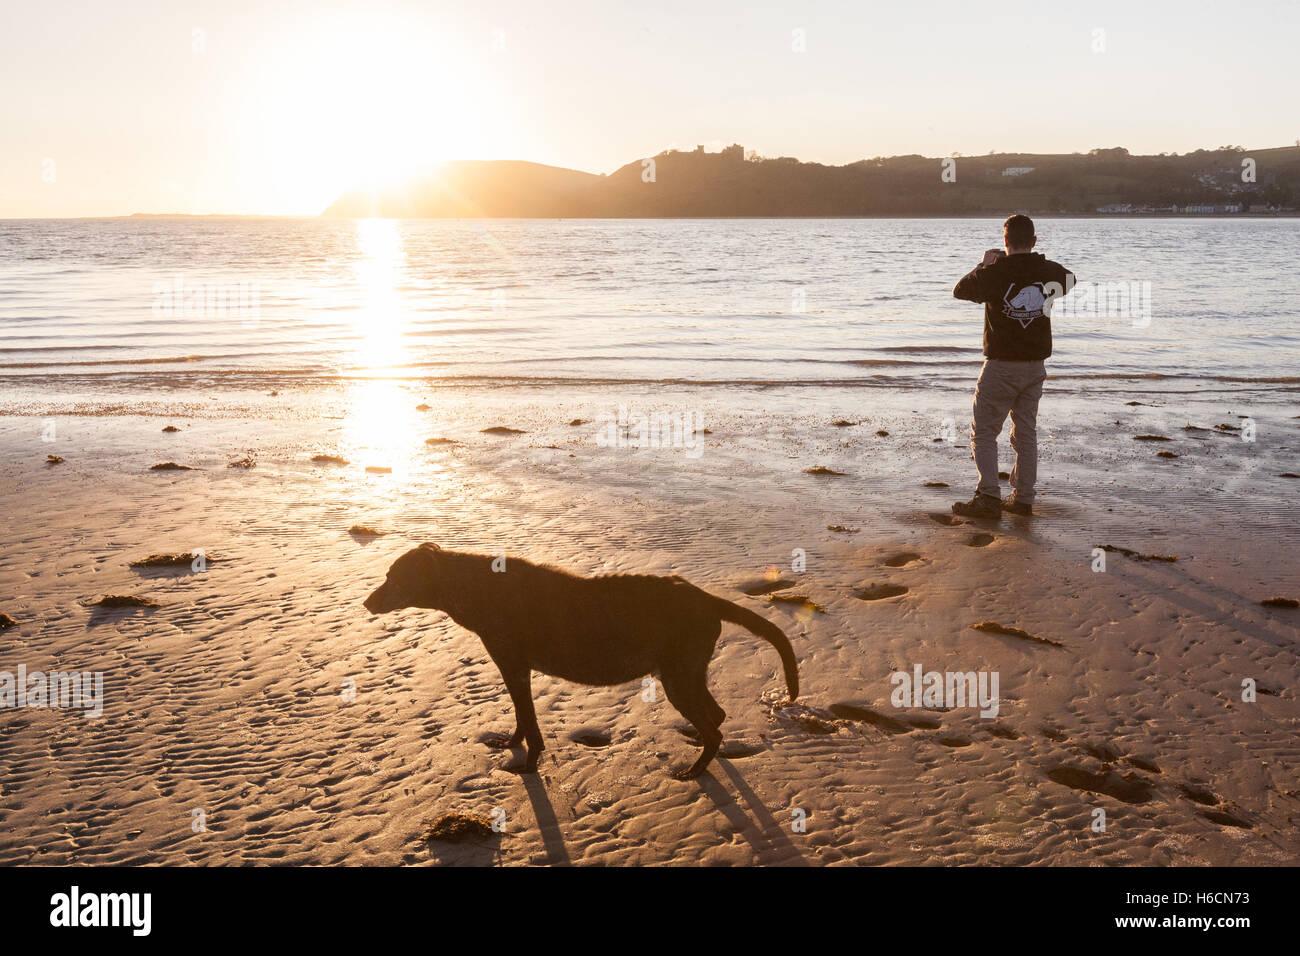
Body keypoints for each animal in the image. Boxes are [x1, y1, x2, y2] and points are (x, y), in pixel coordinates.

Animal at [361, 546, 795, 780]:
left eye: (393, 577)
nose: (365, 603)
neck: (475, 586)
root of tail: (706, 598)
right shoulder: (515, 669)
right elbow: (521, 719)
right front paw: (511, 744)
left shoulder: (513, 666)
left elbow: (530, 722)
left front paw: (528, 764)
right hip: (687, 672)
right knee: (715, 716)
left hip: (678, 677)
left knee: (715, 728)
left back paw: (695, 770)